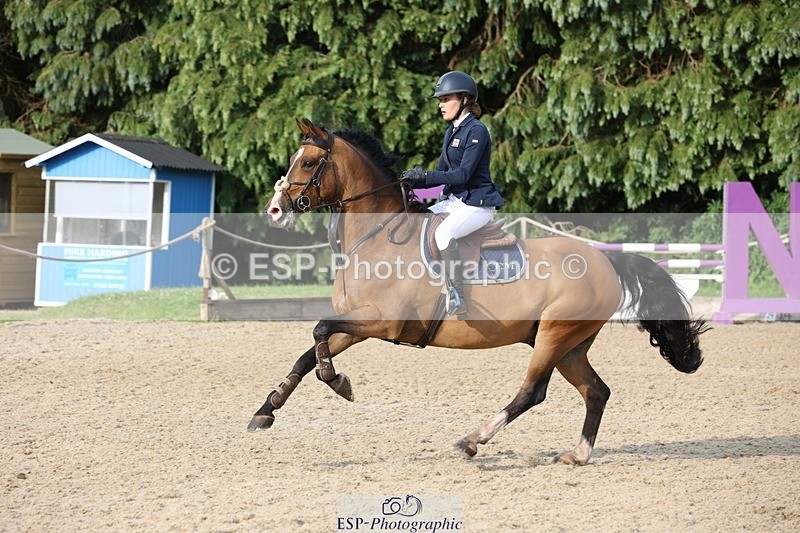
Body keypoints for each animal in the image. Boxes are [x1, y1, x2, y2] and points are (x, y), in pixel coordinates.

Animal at [249, 118, 707, 465]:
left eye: (309, 162)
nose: (275, 210)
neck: (376, 237)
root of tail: (606, 261)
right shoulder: (359, 323)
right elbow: (309, 350)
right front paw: (266, 411)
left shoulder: (384, 322)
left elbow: (319, 332)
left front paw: (337, 381)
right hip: (569, 345)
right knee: (597, 391)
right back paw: (577, 455)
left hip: (554, 336)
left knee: (532, 392)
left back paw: (472, 440)